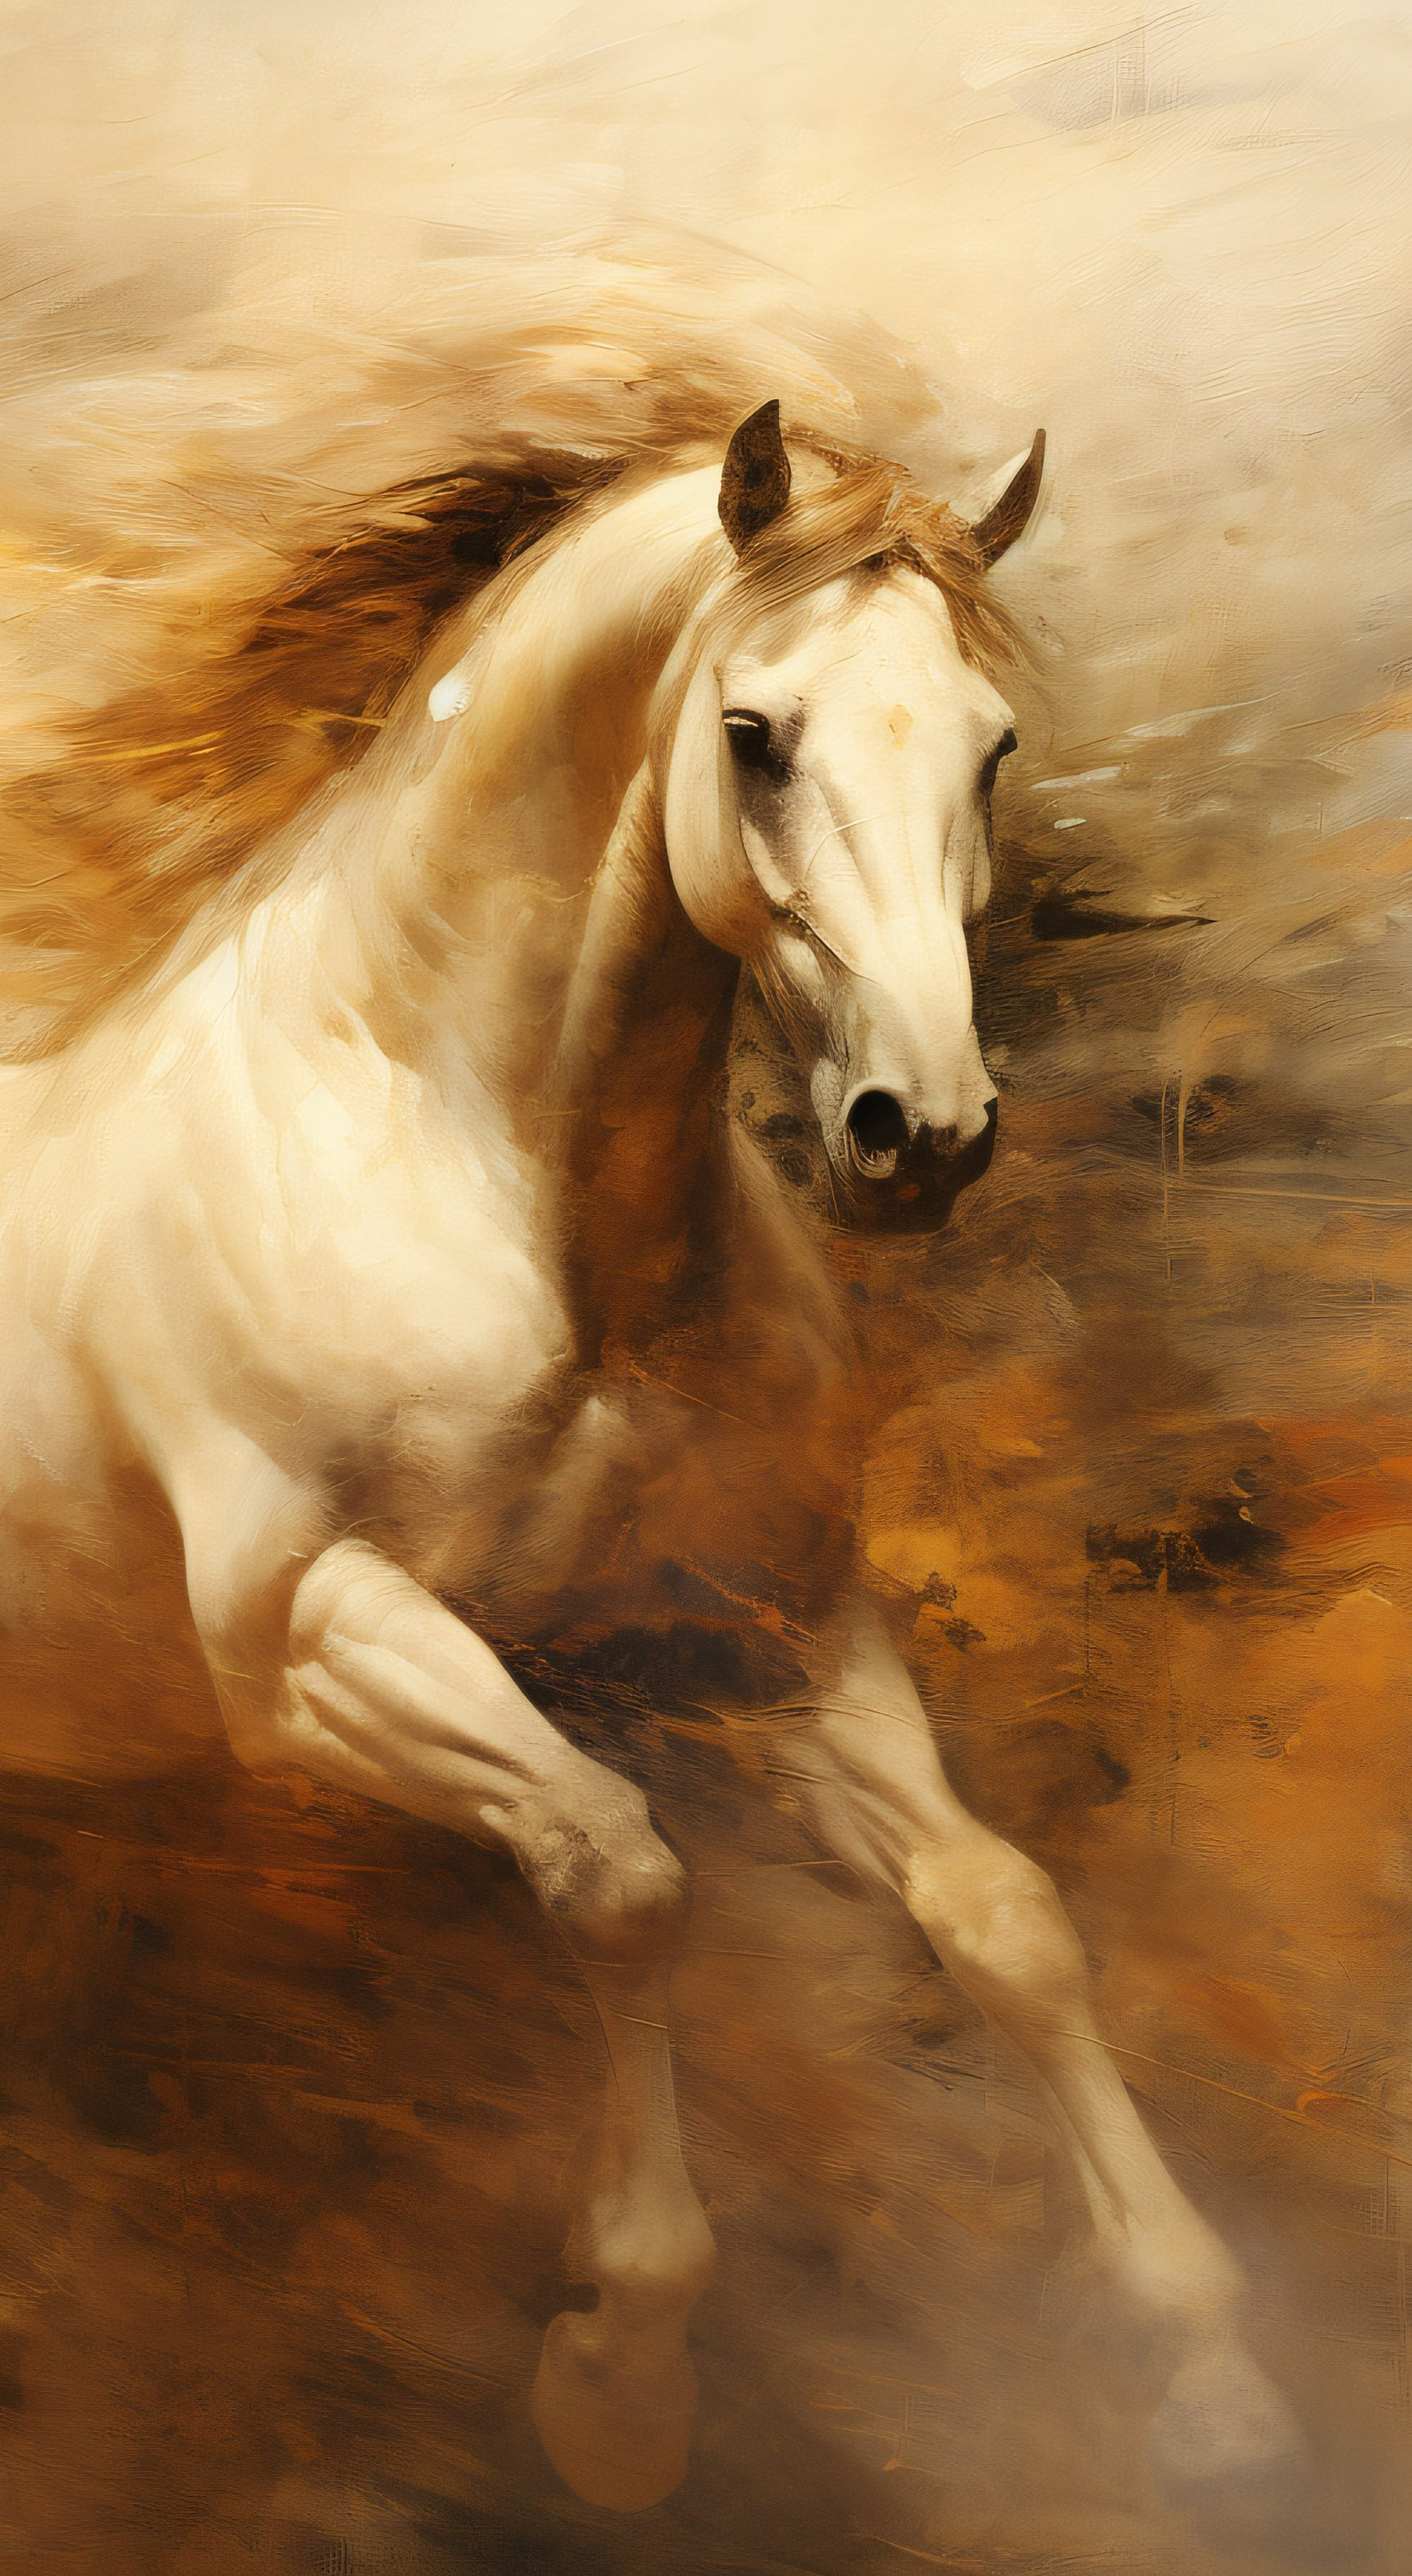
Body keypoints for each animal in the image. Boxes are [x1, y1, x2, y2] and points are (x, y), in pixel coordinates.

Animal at [0, 394, 1303, 2516]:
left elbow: (1003, 1919)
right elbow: (620, 1874)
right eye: (753, 735)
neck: (485, 1181)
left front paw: (1208, 2377)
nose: (919, 1135)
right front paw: (618, 2378)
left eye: (987, 744)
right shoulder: (311, 1649)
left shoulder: (762, 1626)